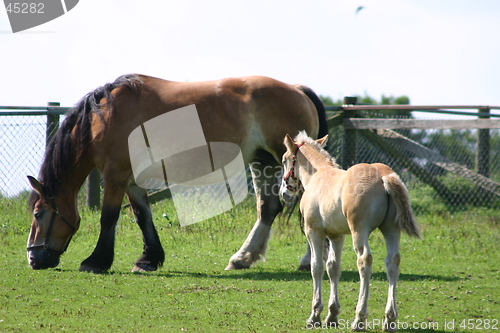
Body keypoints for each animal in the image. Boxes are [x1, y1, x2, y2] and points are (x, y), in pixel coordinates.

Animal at [26, 74, 328, 272]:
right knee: (268, 208)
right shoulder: (132, 180)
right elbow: (142, 216)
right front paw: (148, 260)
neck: (106, 117)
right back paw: (243, 258)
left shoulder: (115, 175)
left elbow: (108, 217)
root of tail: (297, 89)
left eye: (38, 214)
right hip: (262, 161)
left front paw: (95, 261)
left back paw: (307, 261)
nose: (32, 259)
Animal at [280, 131, 420, 330]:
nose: (284, 192)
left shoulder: (314, 232)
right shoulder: (336, 236)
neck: (318, 175)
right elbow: (333, 267)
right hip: (391, 228)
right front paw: (332, 315)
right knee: (392, 262)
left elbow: (317, 267)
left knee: (364, 261)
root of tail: (383, 175)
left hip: (359, 231)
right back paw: (390, 319)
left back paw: (359, 319)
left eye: (284, 160)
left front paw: (315, 315)